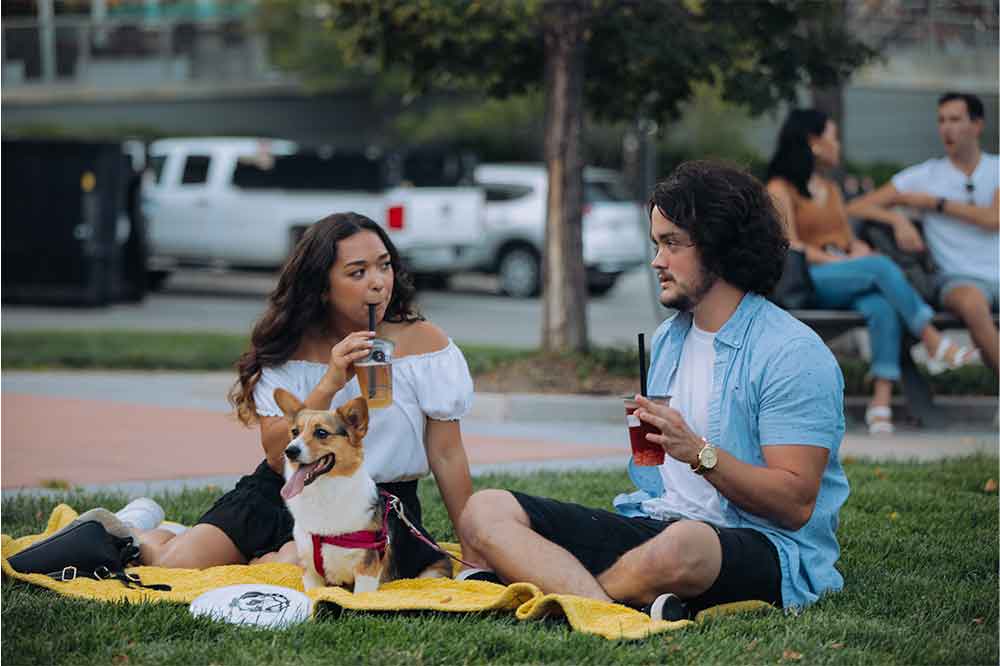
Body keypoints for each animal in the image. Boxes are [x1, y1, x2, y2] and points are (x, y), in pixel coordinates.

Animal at [270, 386, 450, 588]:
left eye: (321, 433)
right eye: (294, 432)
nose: (290, 451)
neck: (324, 493)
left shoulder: (366, 569)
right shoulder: (310, 571)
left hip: (431, 573)